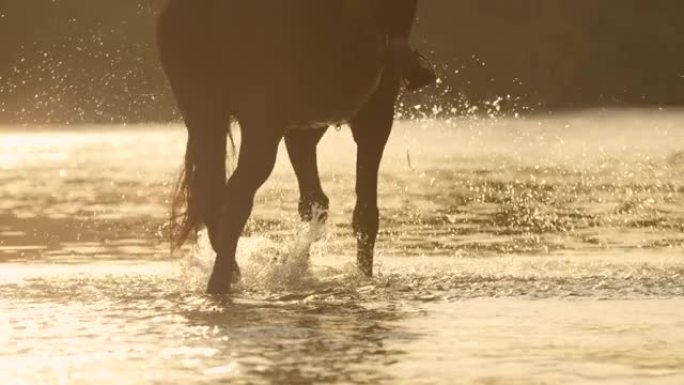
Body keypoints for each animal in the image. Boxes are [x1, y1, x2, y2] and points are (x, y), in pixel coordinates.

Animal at [158, 0, 404, 294]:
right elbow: (364, 214)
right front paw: (363, 277)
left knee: (212, 194)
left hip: (203, 112)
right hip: (259, 119)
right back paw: (221, 279)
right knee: (236, 195)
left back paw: (230, 275)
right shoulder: (376, 111)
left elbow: (313, 203)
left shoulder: (301, 126)